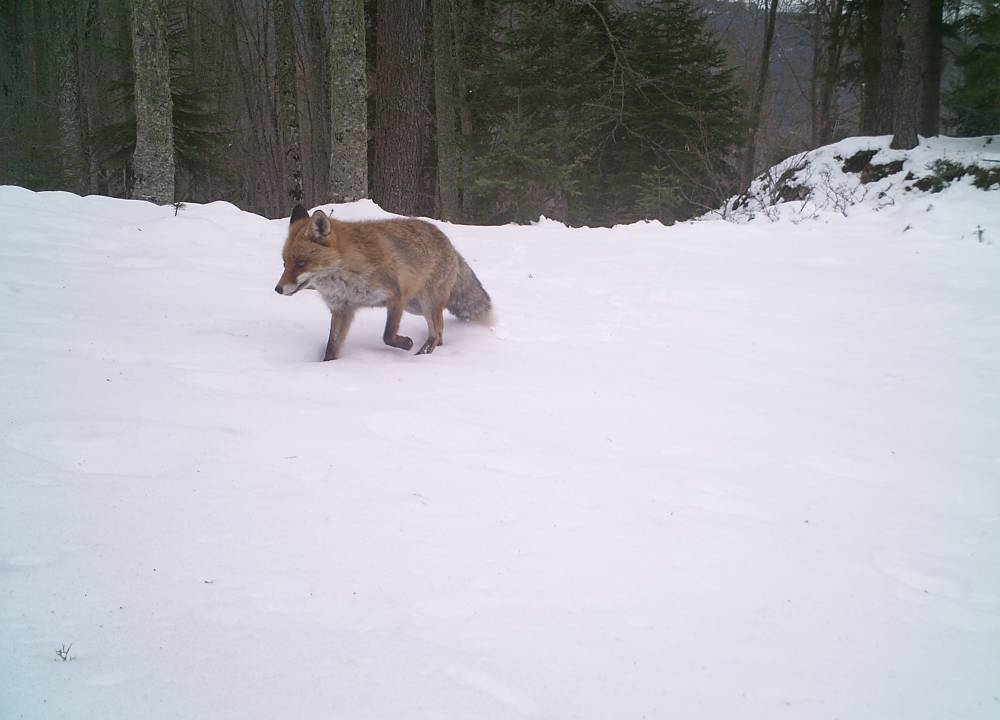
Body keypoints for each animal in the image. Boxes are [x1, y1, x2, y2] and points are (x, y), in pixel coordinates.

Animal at [274, 202, 492, 360]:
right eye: (284, 263)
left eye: (301, 263)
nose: (278, 289)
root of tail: (449, 243)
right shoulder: (343, 310)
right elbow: (331, 348)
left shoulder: (395, 296)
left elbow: (387, 336)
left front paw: (406, 344)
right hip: (415, 306)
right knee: (440, 333)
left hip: (426, 303)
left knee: (435, 333)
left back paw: (421, 356)